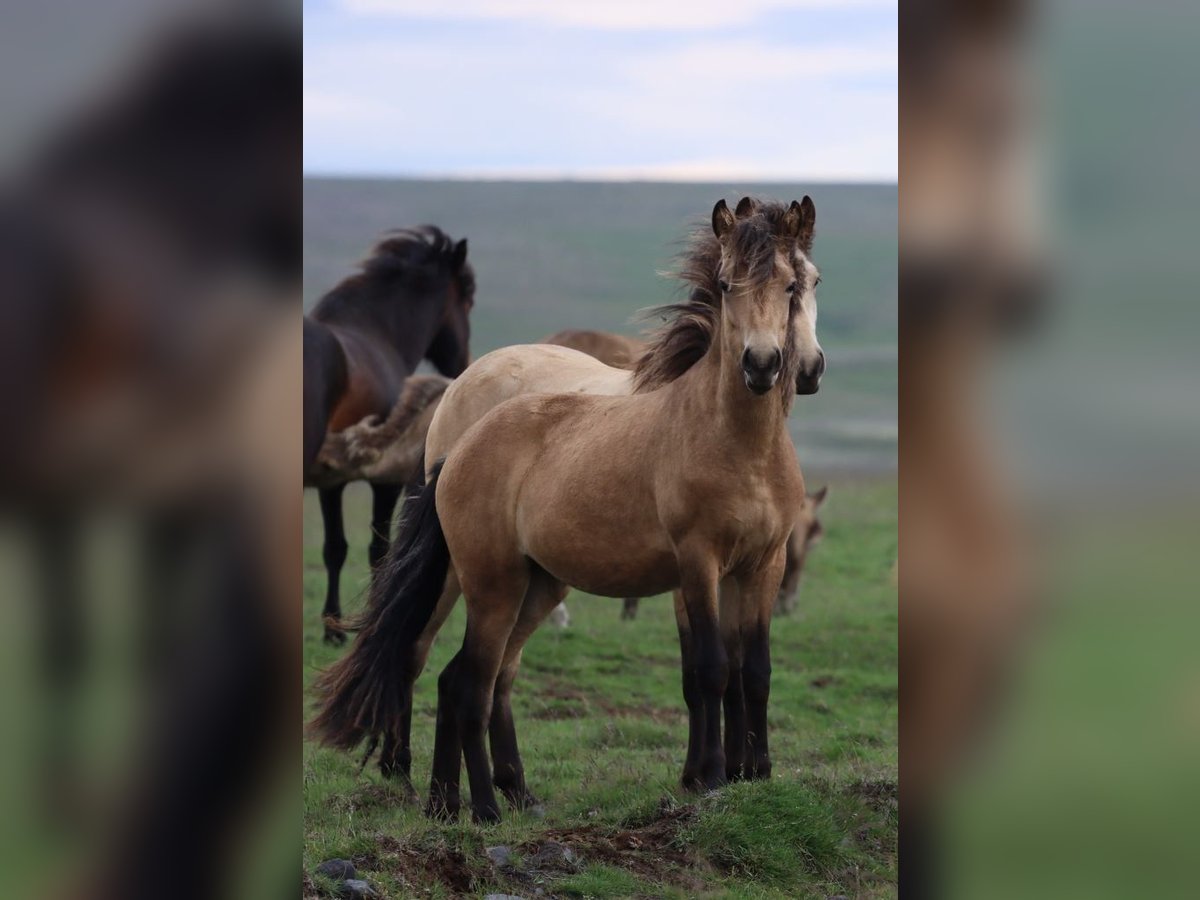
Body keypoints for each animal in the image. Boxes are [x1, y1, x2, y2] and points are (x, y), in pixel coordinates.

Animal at [304, 229, 474, 643]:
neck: (376, 335)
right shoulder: (383, 477)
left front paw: (332, 626)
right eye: (467, 299)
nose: (463, 363)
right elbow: (375, 550)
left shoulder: (330, 479)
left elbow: (334, 547)